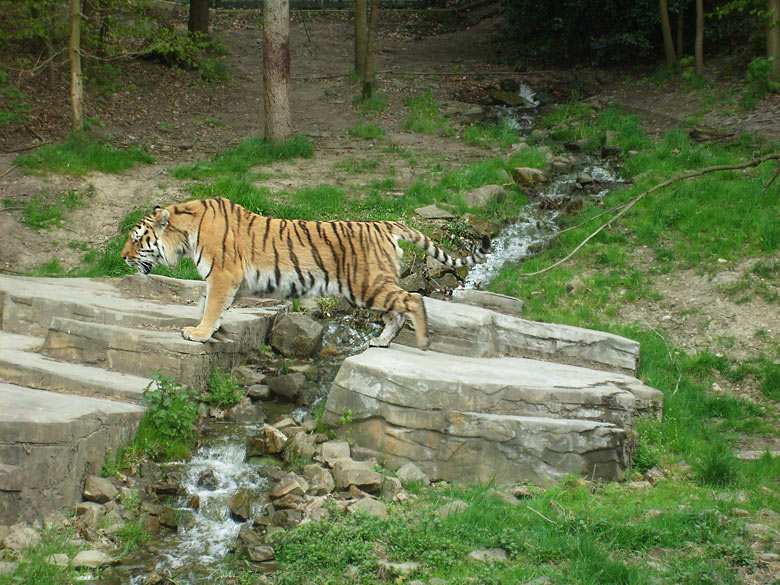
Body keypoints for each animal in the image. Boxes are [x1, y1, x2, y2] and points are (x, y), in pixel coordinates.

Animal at [120, 196, 488, 352]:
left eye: (137, 238)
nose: (122, 257)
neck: (185, 232)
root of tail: (383, 223)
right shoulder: (232, 281)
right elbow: (210, 303)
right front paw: (212, 329)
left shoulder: (224, 274)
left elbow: (211, 305)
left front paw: (197, 333)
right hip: (369, 288)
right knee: (396, 312)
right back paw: (381, 341)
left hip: (366, 284)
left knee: (412, 299)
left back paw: (423, 342)